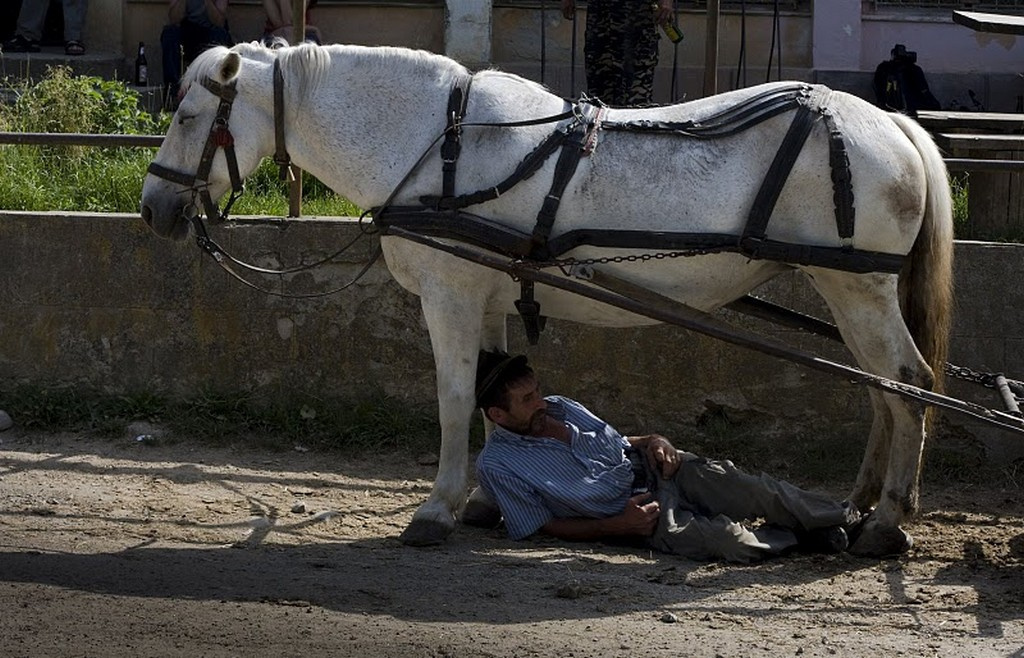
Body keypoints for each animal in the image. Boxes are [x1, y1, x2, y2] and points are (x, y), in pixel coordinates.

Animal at [140, 42, 954, 556]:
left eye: (188, 118)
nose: (153, 211)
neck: (442, 145)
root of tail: (891, 122)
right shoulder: (488, 296)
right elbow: (491, 400)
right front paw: (479, 503)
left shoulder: (451, 293)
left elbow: (454, 400)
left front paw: (436, 508)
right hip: (847, 291)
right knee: (882, 392)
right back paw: (860, 502)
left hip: (857, 286)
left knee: (906, 384)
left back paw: (886, 522)